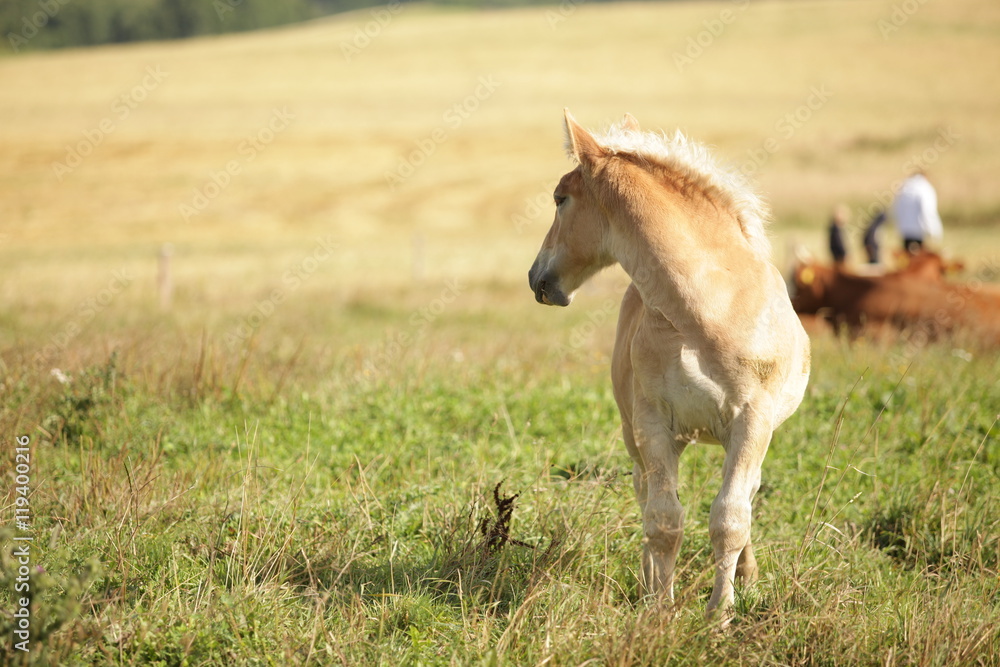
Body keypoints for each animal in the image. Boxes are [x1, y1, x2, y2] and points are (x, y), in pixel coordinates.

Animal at [528, 110, 811, 626]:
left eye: (560, 199)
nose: (537, 278)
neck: (704, 311)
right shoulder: (653, 424)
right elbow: (663, 520)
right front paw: (660, 610)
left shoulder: (753, 422)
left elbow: (730, 517)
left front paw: (720, 614)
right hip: (642, 436)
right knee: (647, 494)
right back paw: (648, 581)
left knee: (747, 495)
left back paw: (747, 577)